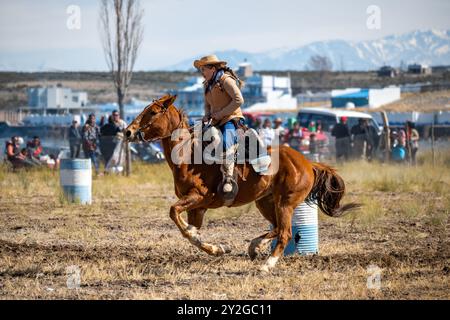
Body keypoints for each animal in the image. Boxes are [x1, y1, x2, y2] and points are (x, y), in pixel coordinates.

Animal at [126, 94, 358, 272]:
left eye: (153, 112)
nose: (128, 131)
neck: (188, 155)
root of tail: (308, 163)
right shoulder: (197, 208)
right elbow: (192, 233)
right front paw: (217, 248)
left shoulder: (197, 197)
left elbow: (175, 214)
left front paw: (208, 242)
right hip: (265, 202)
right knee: (276, 227)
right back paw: (255, 246)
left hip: (285, 203)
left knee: (285, 233)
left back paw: (266, 265)